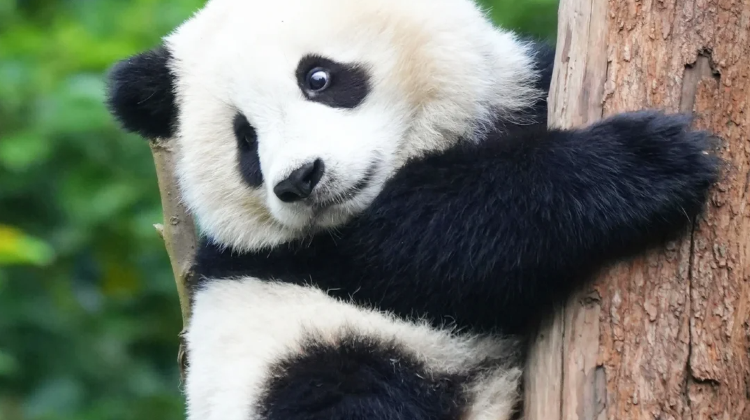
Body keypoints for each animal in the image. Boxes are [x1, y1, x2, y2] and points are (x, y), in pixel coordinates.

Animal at [105, 0, 719, 419]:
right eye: (245, 141)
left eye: (318, 77)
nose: (299, 180)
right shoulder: (313, 256)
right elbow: (440, 240)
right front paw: (647, 160)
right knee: (342, 388)